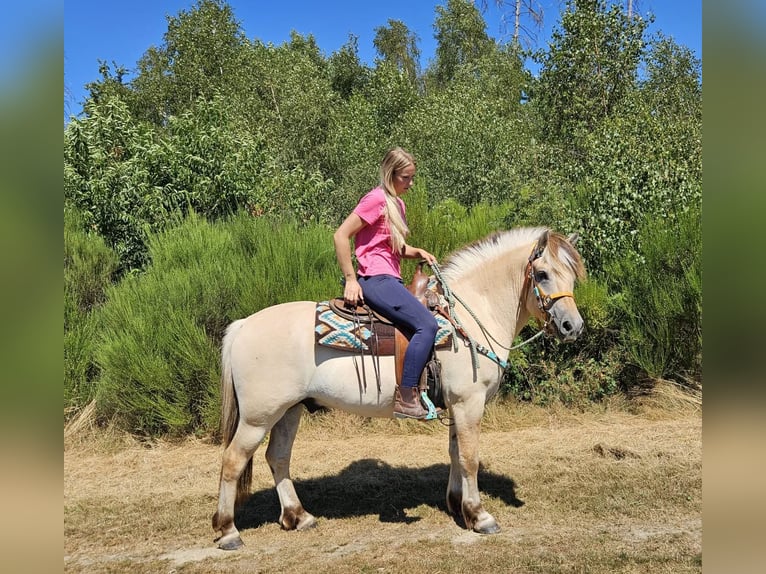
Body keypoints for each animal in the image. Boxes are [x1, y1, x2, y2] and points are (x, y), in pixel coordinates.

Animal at [212, 226, 586, 550]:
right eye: (542, 274)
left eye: (571, 275)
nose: (573, 326)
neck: (468, 318)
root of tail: (243, 325)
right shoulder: (469, 402)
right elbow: (470, 458)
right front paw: (479, 516)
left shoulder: (456, 405)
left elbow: (454, 453)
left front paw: (456, 505)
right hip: (258, 417)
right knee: (232, 461)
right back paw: (228, 531)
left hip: (289, 411)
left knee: (277, 457)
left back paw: (298, 516)